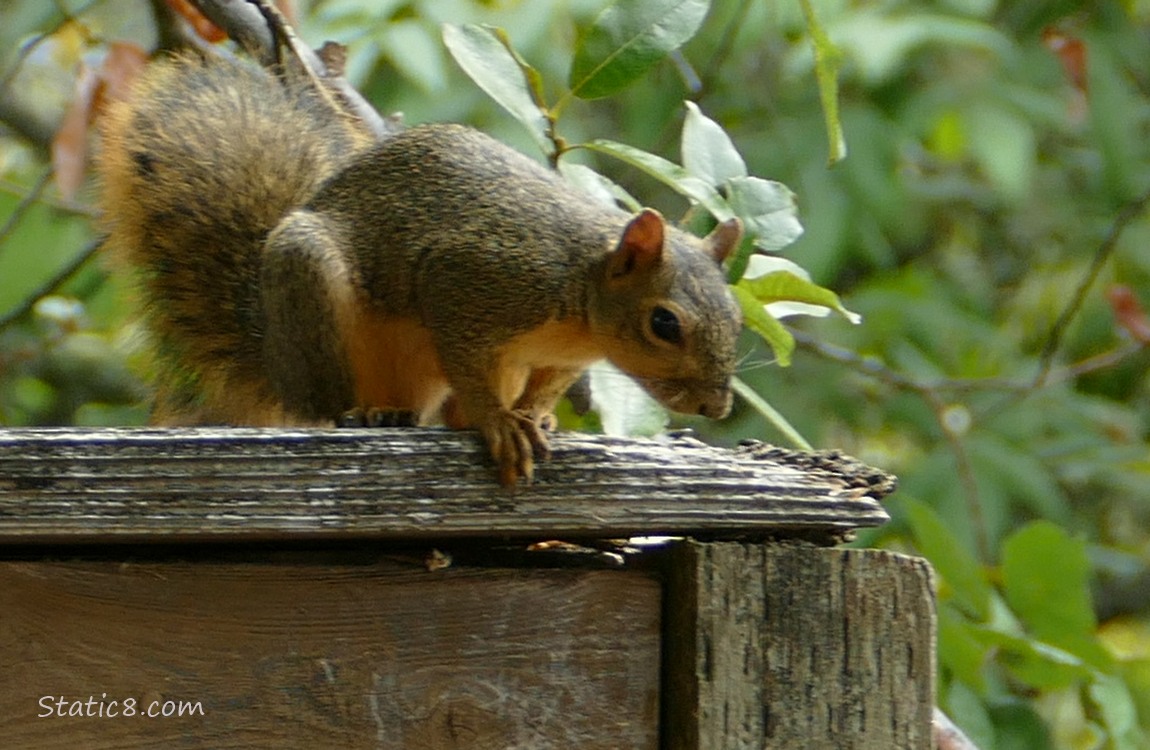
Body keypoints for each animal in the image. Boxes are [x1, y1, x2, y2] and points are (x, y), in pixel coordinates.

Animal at [97, 52, 744, 485]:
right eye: (664, 324)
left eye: (737, 318)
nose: (716, 408)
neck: (580, 294)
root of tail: (276, 362)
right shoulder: (470, 283)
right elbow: (471, 365)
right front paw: (501, 423)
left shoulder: (555, 359)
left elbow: (542, 390)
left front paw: (535, 418)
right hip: (312, 296)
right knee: (321, 404)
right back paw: (360, 412)